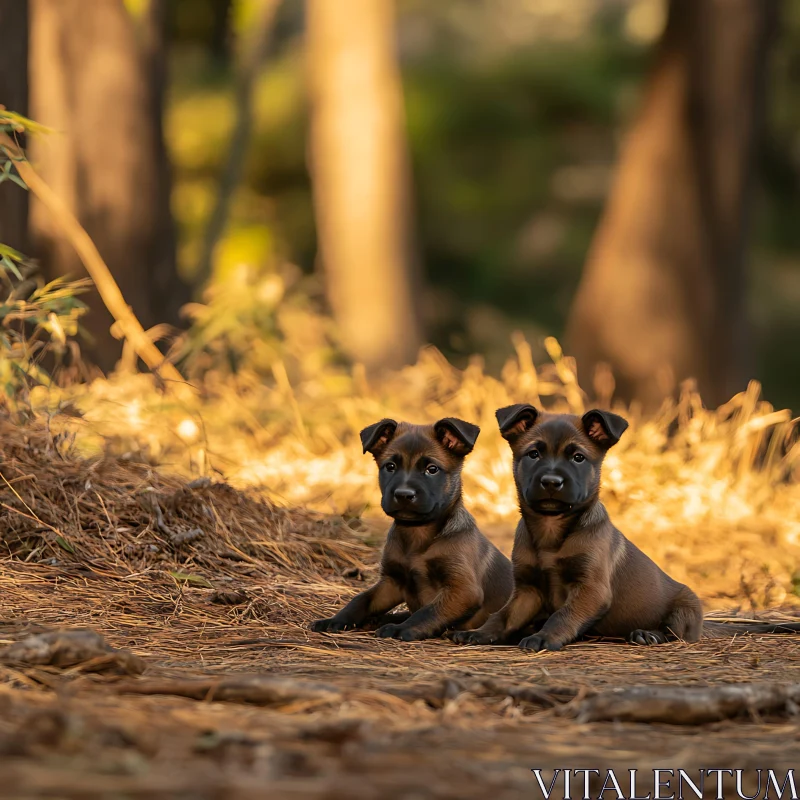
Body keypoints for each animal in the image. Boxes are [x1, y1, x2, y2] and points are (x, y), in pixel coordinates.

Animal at [312, 416, 512, 640]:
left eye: (432, 469)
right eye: (390, 466)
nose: (403, 494)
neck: (417, 535)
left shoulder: (463, 590)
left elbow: (428, 611)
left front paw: (401, 629)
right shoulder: (391, 583)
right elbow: (361, 599)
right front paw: (336, 619)